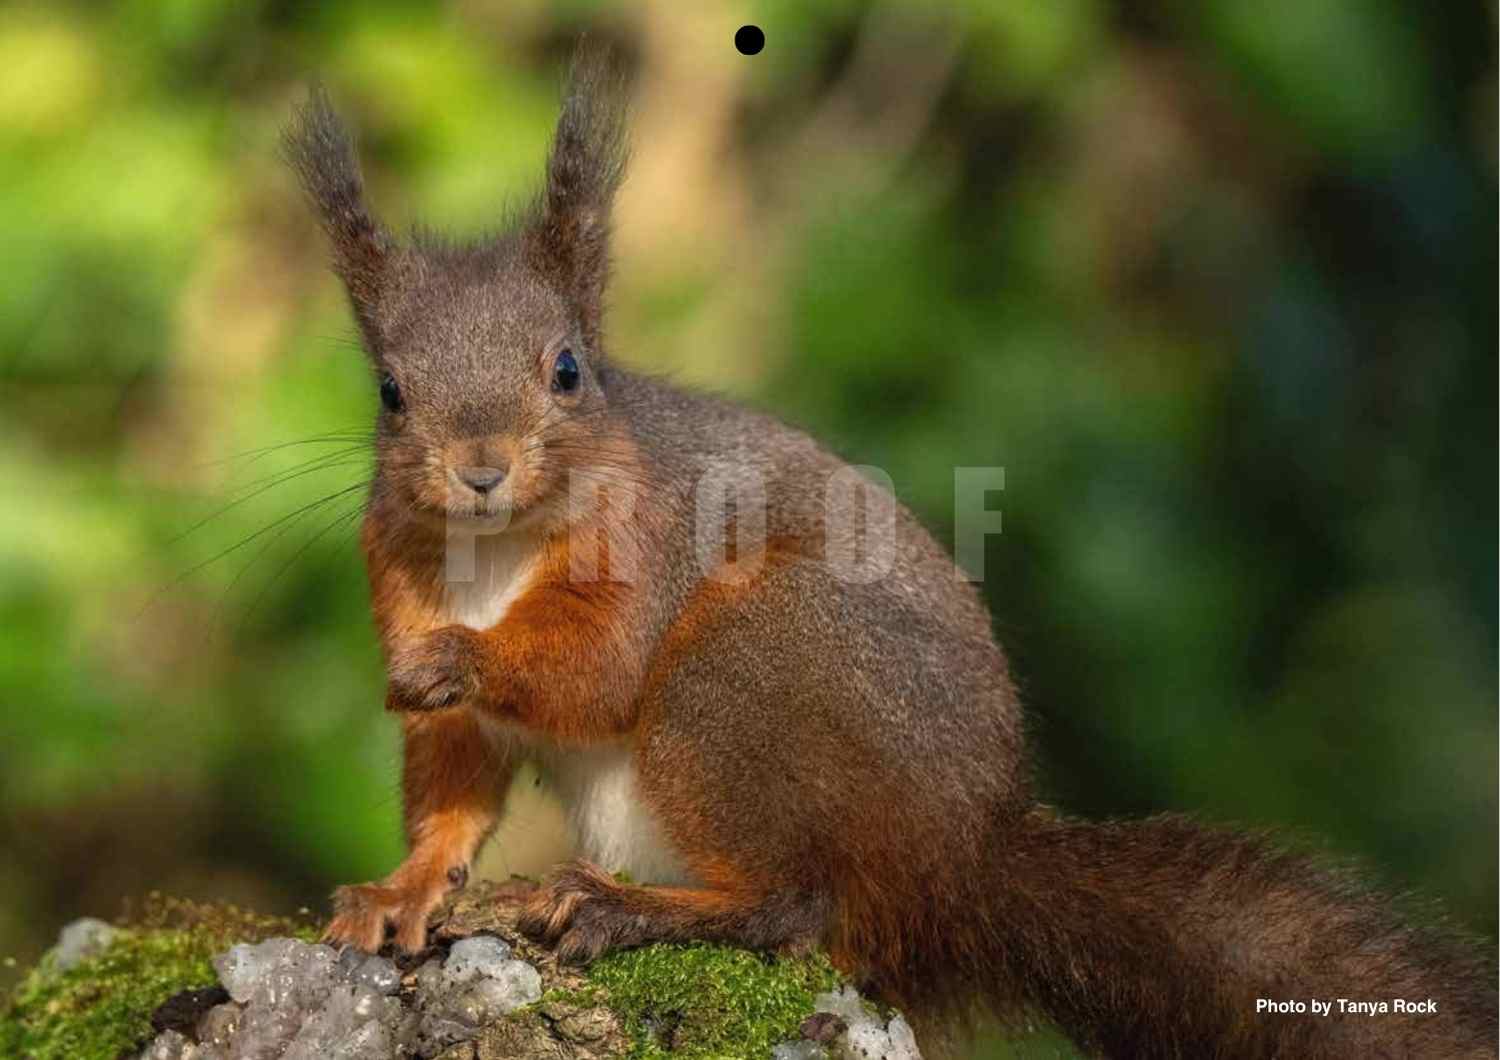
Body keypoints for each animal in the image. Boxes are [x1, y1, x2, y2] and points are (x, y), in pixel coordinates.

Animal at [283, 46, 1496, 1058]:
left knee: (794, 902)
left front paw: (462, 662)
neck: (493, 553)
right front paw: (400, 891)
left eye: (569, 369)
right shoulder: (401, 584)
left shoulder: (652, 542)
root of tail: (957, 867)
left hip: (751, 665)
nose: (480, 466)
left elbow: (600, 667)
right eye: (390, 392)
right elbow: (451, 787)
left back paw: (622, 906)